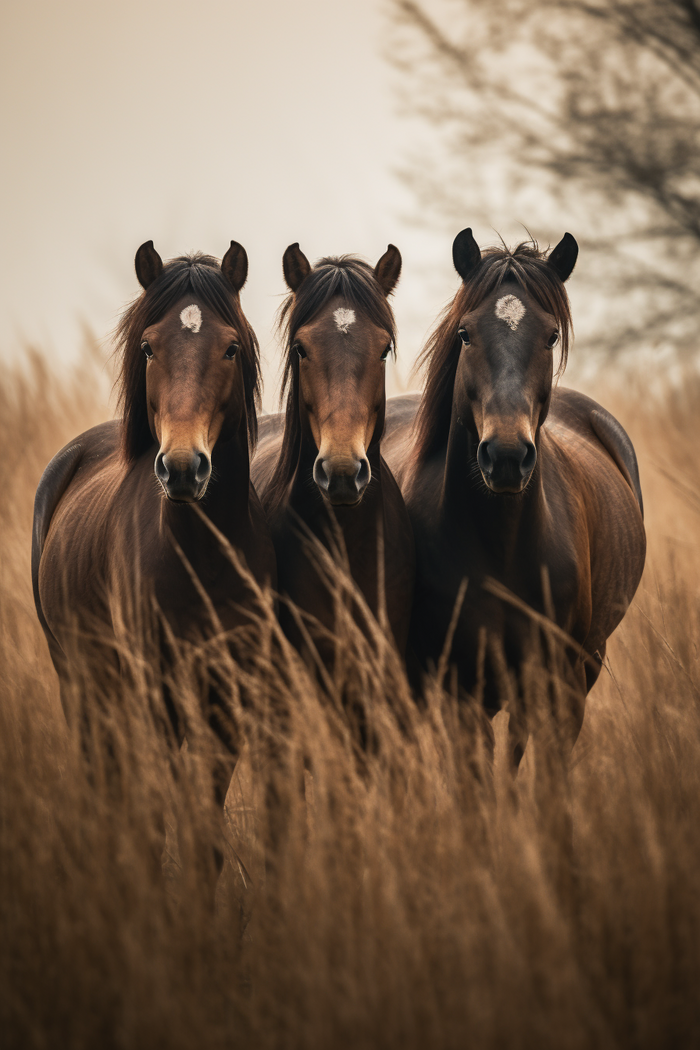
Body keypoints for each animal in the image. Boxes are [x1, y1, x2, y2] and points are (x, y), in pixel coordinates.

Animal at [32, 240, 277, 869]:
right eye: (148, 346)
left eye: (231, 347)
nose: (184, 468)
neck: (199, 554)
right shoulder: (156, 694)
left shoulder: (226, 697)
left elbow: (203, 834)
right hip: (80, 682)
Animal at [384, 229, 646, 764]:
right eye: (465, 334)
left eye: (551, 336)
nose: (506, 456)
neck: (502, 548)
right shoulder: (461, 694)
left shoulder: (562, 692)